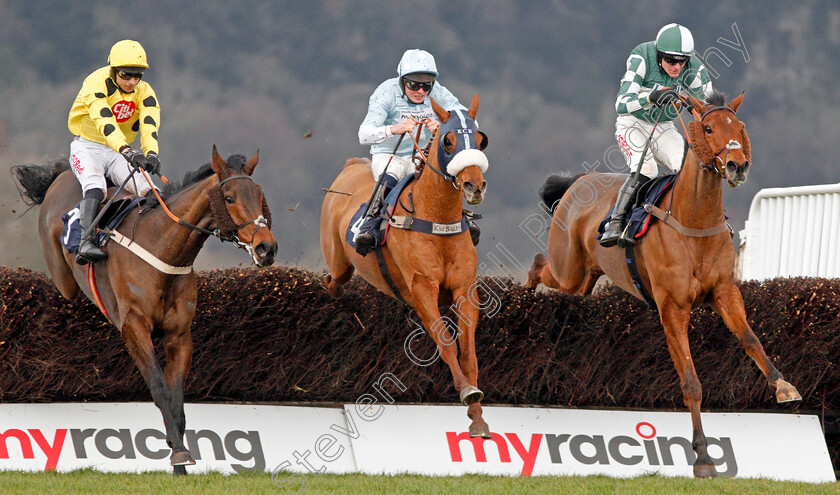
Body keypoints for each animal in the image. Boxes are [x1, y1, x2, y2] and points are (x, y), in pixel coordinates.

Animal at [13, 145, 278, 474]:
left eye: (260, 195)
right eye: (229, 198)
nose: (267, 248)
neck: (164, 249)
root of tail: (62, 173)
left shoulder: (179, 335)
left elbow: (176, 398)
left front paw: (179, 460)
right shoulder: (134, 327)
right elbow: (160, 388)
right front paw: (178, 453)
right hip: (65, 278)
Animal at [322, 96, 492, 438]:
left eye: (481, 140)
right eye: (448, 140)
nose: (474, 186)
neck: (437, 218)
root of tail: (351, 166)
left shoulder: (464, 288)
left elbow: (468, 351)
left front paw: (478, 417)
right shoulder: (422, 289)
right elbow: (446, 343)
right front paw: (467, 392)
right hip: (338, 262)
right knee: (333, 281)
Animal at [528, 91, 804, 478]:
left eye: (740, 126)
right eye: (708, 127)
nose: (737, 166)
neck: (694, 220)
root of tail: (578, 183)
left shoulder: (724, 291)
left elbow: (751, 339)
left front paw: (784, 386)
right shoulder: (672, 307)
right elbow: (690, 381)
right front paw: (703, 456)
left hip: (584, 279)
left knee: (560, 276)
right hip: (568, 268)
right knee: (539, 265)